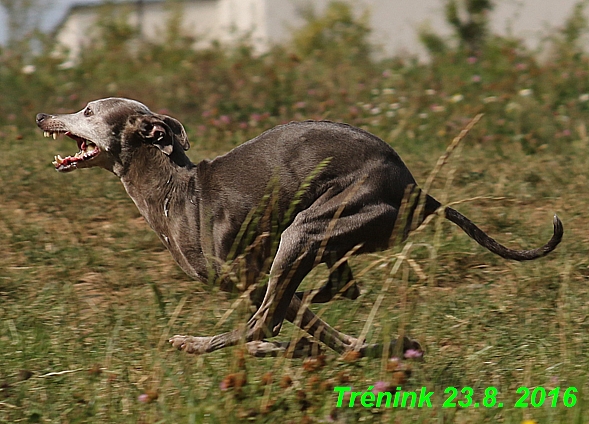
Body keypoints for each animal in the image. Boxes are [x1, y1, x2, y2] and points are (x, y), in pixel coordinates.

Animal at [35, 97, 560, 356]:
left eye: (87, 111)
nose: (41, 115)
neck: (175, 189)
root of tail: (414, 188)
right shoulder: (254, 278)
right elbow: (309, 321)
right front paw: (359, 345)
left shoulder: (246, 275)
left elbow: (274, 317)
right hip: (322, 238)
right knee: (331, 290)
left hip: (306, 229)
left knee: (268, 316)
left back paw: (203, 342)